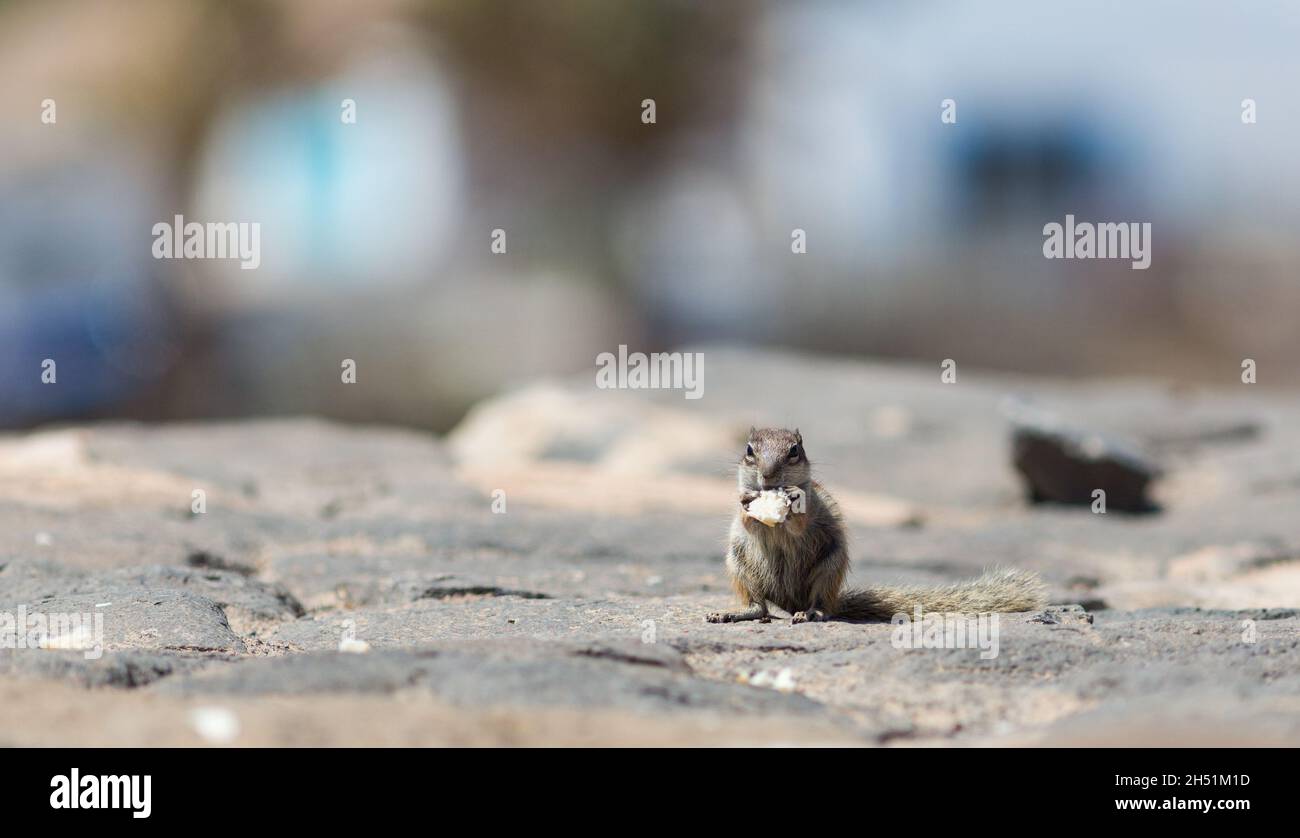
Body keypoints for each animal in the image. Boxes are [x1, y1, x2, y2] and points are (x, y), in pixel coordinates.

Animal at [707, 428, 1050, 623]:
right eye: (749, 450)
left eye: (794, 451)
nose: (767, 476)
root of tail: (791, 603)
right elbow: (747, 522)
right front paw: (747, 503)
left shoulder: (814, 505)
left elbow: (801, 524)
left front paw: (792, 500)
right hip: (739, 564)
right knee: (760, 609)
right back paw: (733, 612)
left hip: (829, 567)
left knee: (819, 606)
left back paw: (812, 613)